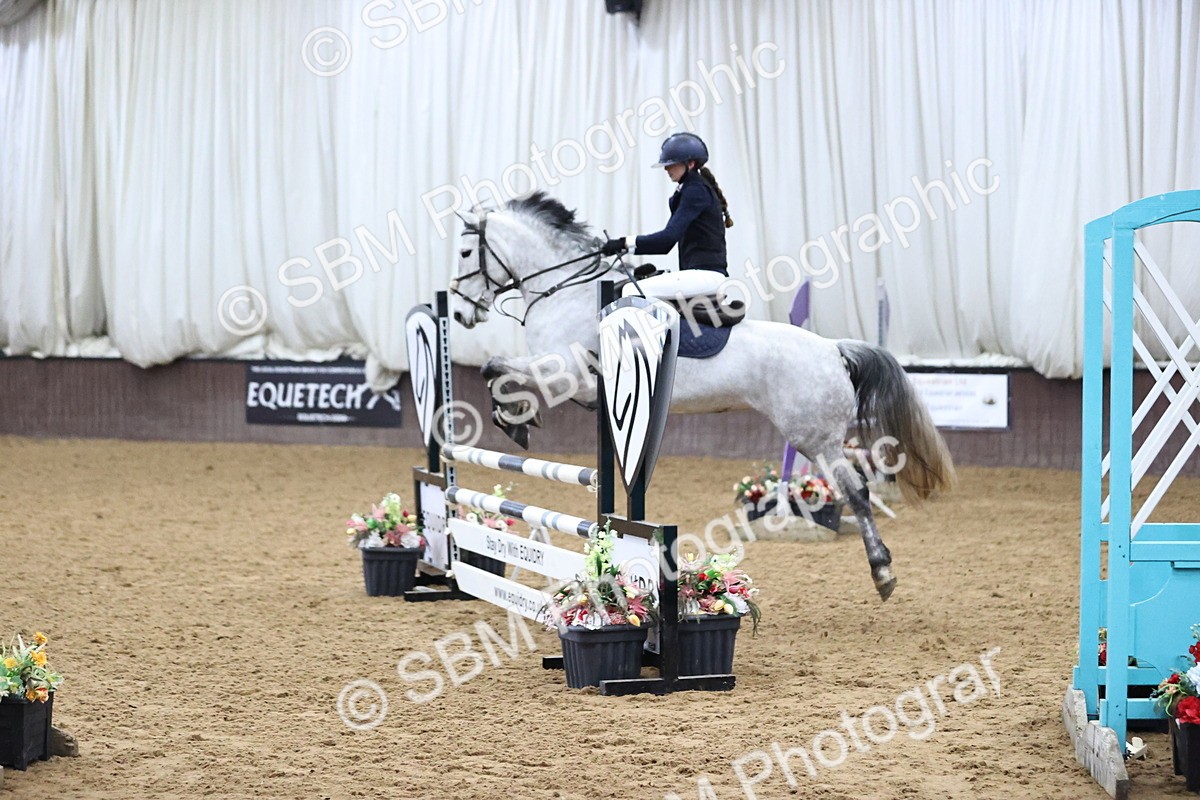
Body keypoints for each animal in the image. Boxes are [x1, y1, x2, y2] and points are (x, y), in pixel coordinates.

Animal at [447, 192, 955, 601]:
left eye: (466, 251)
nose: (458, 312)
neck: (564, 293)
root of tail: (833, 348)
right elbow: (499, 372)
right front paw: (517, 417)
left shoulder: (567, 373)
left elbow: (496, 370)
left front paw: (513, 417)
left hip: (815, 437)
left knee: (856, 491)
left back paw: (883, 572)